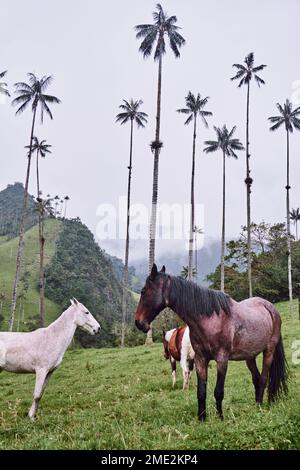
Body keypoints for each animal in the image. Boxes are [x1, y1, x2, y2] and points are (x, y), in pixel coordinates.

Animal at [135, 264, 288, 422]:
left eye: (143, 291)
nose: (139, 323)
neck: (210, 319)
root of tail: (270, 307)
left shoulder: (222, 359)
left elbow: (218, 391)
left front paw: (220, 417)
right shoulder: (200, 359)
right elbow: (201, 392)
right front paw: (202, 418)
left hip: (269, 351)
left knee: (263, 378)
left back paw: (261, 406)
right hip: (249, 356)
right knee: (256, 378)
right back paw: (257, 404)